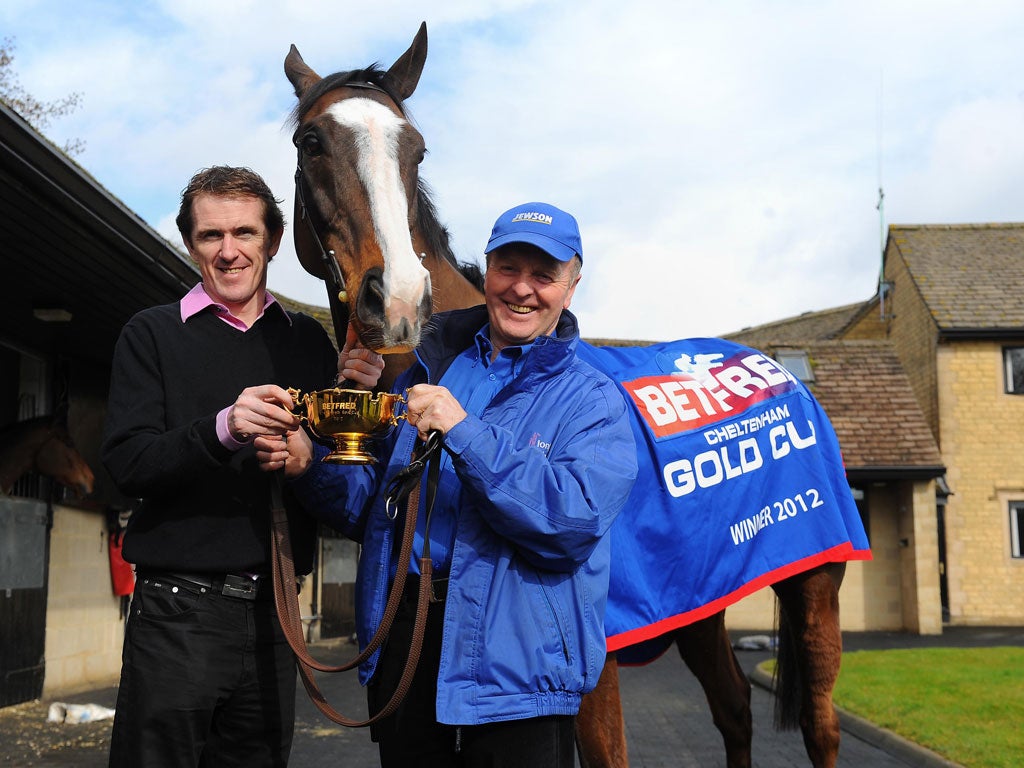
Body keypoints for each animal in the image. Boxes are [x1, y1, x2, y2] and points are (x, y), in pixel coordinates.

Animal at [286, 22, 847, 765]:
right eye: (312, 142)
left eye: (417, 150)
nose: (399, 299)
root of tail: (779, 373)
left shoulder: (593, 673)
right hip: (702, 603)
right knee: (734, 710)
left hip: (815, 585)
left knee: (820, 725)